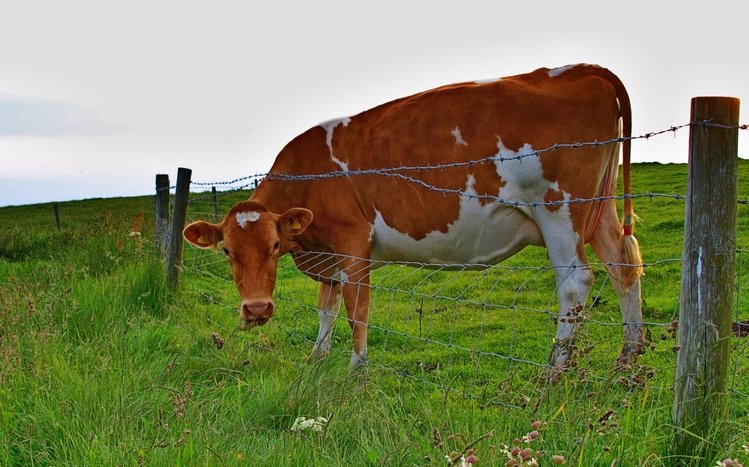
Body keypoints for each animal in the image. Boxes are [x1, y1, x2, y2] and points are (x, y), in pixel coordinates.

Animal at [183, 63, 644, 370]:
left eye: (275, 245)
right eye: (226, 251)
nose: (256, 309)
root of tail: (577, 70)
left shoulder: (353, 244)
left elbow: (356, 311)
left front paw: (356, 372)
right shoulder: (327, 255)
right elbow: (325, 309)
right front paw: (317, 358)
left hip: (559, 210)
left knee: (575, 283)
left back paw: (553, 371)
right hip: (600, 209)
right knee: (622, 267)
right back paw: (630, 359)